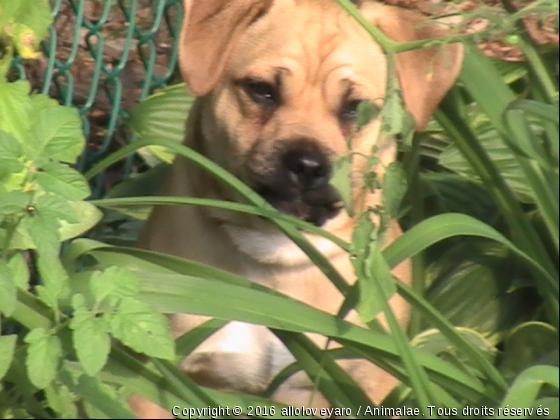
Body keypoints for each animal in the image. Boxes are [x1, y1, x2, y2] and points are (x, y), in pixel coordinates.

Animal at [129, 0, 462, 416]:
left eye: (356, 108)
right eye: (261, 90)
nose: (306, 163)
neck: (277, 254)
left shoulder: (363, 381)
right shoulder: (153, 373)